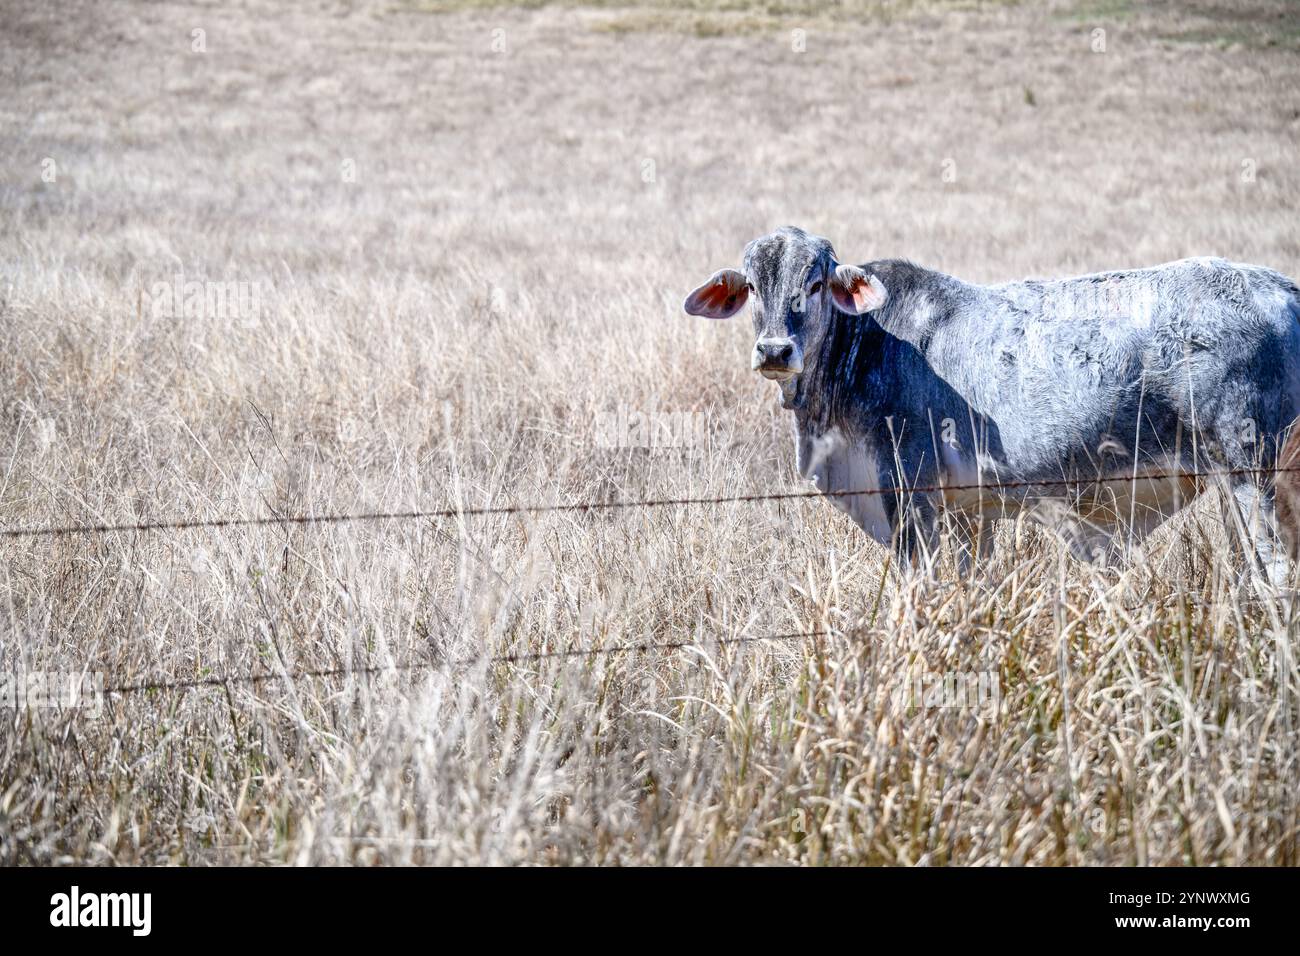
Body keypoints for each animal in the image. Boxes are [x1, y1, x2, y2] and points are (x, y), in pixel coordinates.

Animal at [686, 227, 1300, 582]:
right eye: (753, 287)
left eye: (814, 284)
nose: (774, 350)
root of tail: (1283, 288)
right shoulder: (968, 513)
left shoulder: (907, 489)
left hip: (1252, 474)